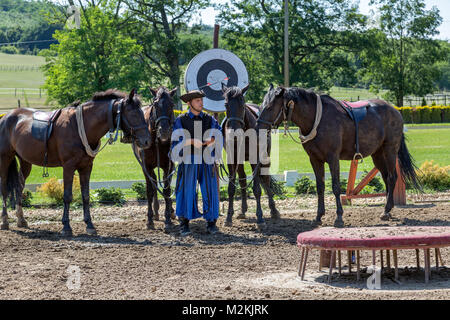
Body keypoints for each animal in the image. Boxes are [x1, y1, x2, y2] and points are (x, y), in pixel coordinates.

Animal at [0, 89, 151, 236]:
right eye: (133, 113)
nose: (146, 141)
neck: (79, 127)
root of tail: (6, 117)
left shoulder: (86, 167)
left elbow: (86, 196)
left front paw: (89, 225)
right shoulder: (68, 166)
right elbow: (67, 196)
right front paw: (66, 226)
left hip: (25, 161)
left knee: (19, 187)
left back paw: (21, 220)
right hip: (5, 159)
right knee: (5, 188)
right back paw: (5, 221)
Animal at [131, 86, 177, 231]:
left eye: (172, 104)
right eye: (156, 104)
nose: (164, 131)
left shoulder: (168, 165)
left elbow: (167, 189)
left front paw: (168, 219)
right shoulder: (146, 166)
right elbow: (149, 191)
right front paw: (150, 220)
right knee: (154, 183)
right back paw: (156, 212)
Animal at [222, 84, 282, 226]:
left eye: (242, 104)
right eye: (226, 104)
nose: (234, 133)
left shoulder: (256, 160)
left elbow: (257, 189)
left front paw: (260, 217)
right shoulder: (232, 160)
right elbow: (231, 188)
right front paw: (228, 217)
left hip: (265, 158)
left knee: (265, 179)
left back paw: (273, 210)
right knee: (243, 179)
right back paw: (243, 210)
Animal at [256, 84, 422, 225]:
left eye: (270, 107)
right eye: (262, 105)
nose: (258, 127)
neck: (317, 119)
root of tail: (395, 111)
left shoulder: (333, 158)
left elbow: (335, 186)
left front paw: (339, 217)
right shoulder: (315, 160)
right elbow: (320, 186)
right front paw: (318, 216)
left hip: (390, 150)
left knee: (392, 177)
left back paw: (387, 209)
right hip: (378, 155)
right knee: (387, 178)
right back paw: (387, 211)